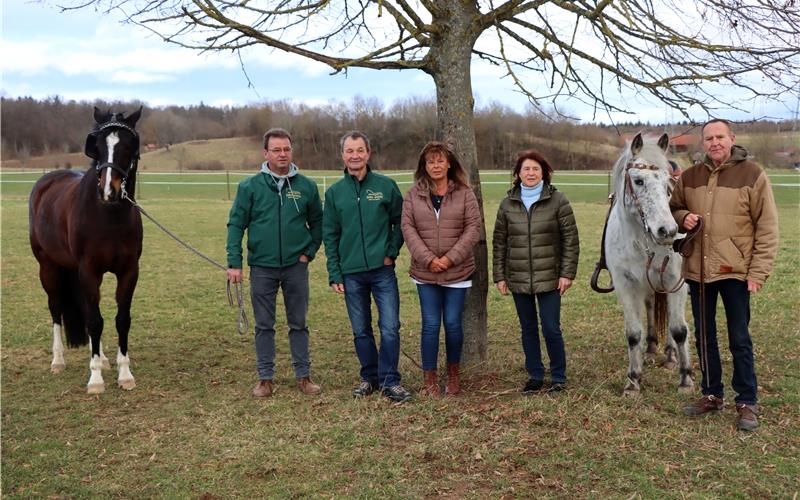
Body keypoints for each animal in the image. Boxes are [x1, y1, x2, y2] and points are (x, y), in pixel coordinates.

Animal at [28, 106, 145, 394]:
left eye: (129, 146)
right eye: (98, 147)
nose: (108, 191)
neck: (109, 217)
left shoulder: (128, 272)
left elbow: (120, 320)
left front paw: (124, 373)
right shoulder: (88, 270)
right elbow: (94, 321)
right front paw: (95, 380)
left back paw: (101, 358)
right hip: (48, 268)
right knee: (56, 308)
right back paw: (58, 360)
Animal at [608, 132, 692, 394]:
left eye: (668, 184)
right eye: (638, 181)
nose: (667, 230)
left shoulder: (676, 281)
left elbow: (679, 330)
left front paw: (686, 379)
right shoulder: (625, 284)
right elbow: (633, 333)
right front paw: (633, 381)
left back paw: (670, 356)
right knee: (651, 306)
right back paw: (652, 348)